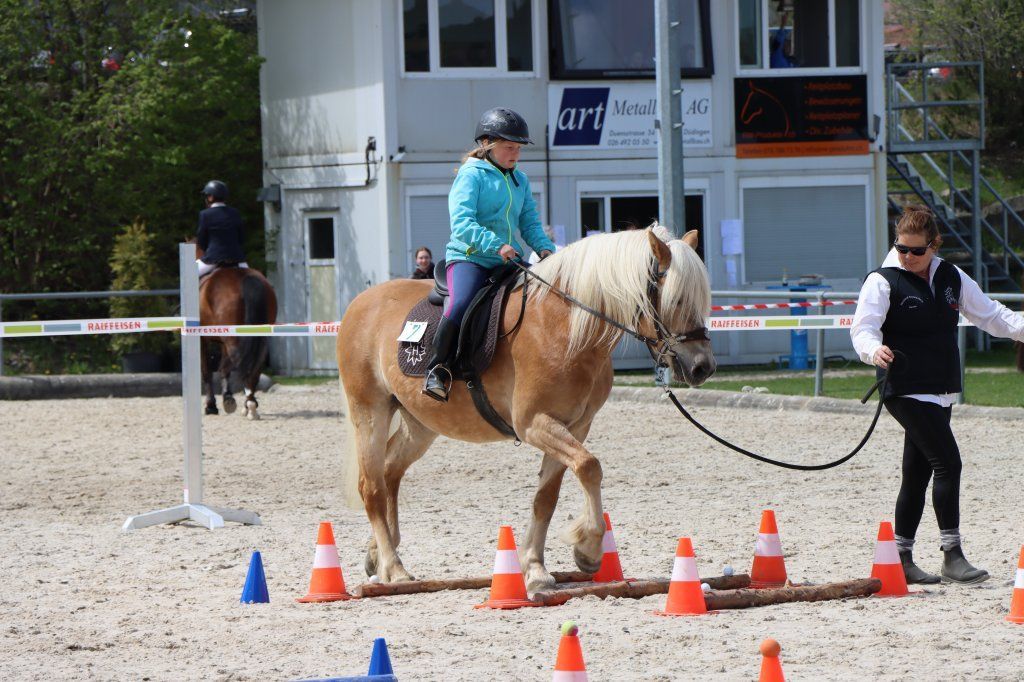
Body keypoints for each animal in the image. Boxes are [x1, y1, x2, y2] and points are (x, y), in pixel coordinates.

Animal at [198, 266, 276, 419]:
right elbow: (223, 369)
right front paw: (226, 397)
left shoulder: (202, 338)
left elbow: (207, 371)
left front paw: (211, 406)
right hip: (260, 337)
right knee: (255, 366)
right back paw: (250, 405)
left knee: (242, 364)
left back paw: (248, 405)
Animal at [335, 225, 712, 593]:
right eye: (677, 299)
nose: (702, 367)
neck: (565, 326)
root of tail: (359, 304)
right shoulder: (534, 424)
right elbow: (589, 467)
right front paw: (588, 549)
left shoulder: (575, 426)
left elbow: (547, 495)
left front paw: (534, 567)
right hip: (370, 412)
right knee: (371, 486)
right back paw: (393, 567)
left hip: (420, 425)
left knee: (390, 472)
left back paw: (377, 555)